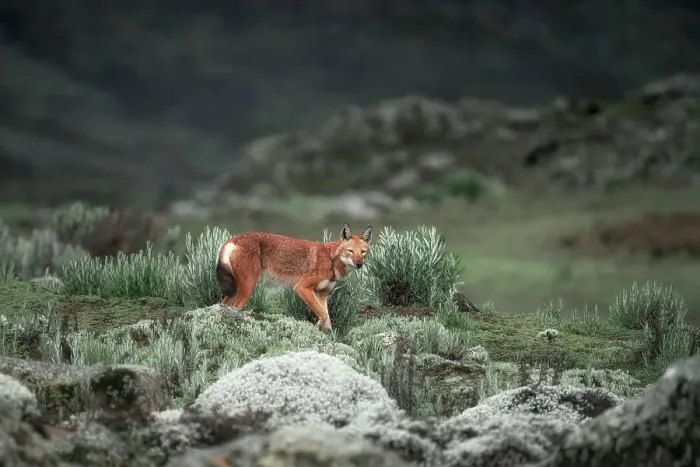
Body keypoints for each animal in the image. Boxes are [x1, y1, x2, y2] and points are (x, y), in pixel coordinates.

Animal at [216, 223, 373, 332]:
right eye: (350, 251)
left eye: (363, 252)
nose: (359, 264)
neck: (331, 259)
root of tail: (231, 240)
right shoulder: (302, 288)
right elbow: (323, 314)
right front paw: (316, 327)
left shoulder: (322, 294)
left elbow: (327, 317)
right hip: (247, 289)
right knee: (235, 308)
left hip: (234, 291)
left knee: (222, 304)